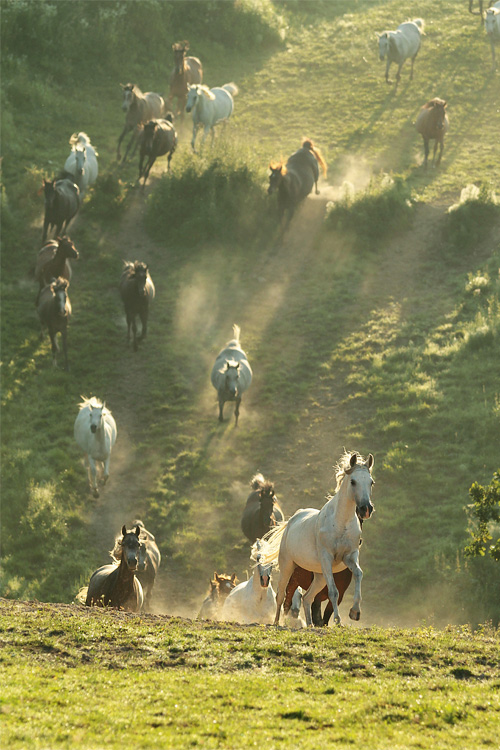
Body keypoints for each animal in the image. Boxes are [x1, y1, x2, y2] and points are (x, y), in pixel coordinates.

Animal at [262, 452, 376, 628]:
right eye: (353, 481)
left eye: (371, 482)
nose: (366, 509)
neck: (340, 523)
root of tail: (292, 520)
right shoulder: (327, 558)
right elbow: (333, 592)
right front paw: (338, 620)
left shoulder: (349, 556)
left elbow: (358, 574)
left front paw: (355, 612)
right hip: (288, 566)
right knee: (281, 595)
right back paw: (275, 623)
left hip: (319, 575)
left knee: (307, 597)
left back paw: (309, 625)